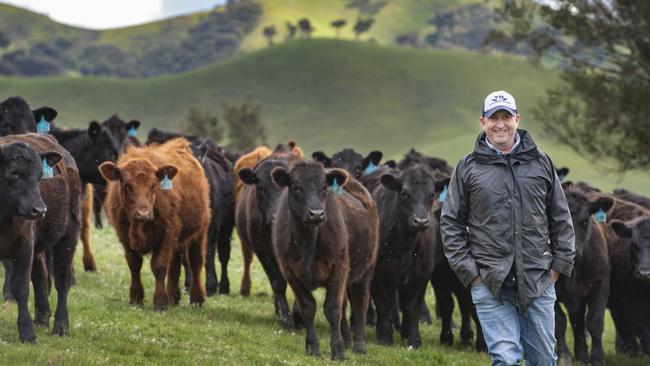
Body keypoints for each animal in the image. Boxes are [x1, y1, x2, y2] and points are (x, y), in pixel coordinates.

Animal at [100, 139, 209, 310]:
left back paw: (197, 299)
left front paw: (160, 302)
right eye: (127, 185)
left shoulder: (167, 233)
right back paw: (173, 296)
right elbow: (134, 264)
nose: (143, 213)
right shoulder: (124, 235)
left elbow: (159, 266)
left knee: (196, 262)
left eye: (153, 185)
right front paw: (136, 298)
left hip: (199, 231)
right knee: (175, 264)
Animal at [146, 129, 235, 294]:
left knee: (224, 254)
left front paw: (210, 286)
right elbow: (184, 256)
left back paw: (224, 287)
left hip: (227, 225)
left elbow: (208, 253)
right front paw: (189, 284)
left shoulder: (212, 225)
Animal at [270, 162, 380, 358]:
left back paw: (359, 344)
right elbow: (308, 308)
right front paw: (312, 345)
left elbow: (332, 309)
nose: (316, 214)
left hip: (366, 270)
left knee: (360, 303)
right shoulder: (291, 273)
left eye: (324, 188)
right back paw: (347, 339)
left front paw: (337, 350)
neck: (308, 242)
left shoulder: (338, 269)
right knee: (345, 304)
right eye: (296, 187)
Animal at [370, 164, 446, 348]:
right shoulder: (377, 274)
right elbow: (383, 303)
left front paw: (413, 339)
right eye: (404, 193)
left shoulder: (421, 276)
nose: (421, 221)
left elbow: (412, 308)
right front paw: (385, 336)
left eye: (431, 194)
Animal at [552, 189, 612, 366]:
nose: (572, 251)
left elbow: (595, 322)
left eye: (584, 222)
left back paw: (583, 355)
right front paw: (564, 357)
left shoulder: (600, 285)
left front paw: (598, 358)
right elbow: (559, 323)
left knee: (578, 321)